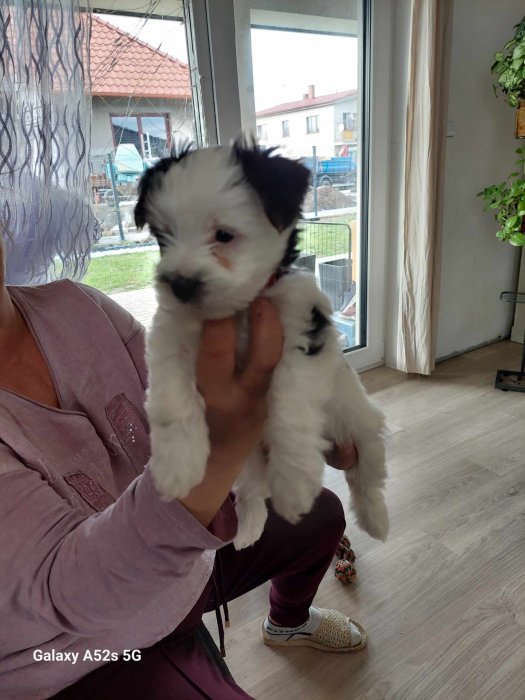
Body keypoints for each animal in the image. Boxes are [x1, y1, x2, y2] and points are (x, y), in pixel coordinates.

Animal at [134, 139, 388, 549]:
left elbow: (290, 402)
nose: (181, 285)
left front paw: (295, 481)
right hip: (247, 461)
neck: (238, 309)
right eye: (163, 237)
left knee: (366, 472)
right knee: (252, 494)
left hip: (360, 423)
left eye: (224, 235)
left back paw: (375, 517)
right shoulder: (173, 333)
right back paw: (248, 528)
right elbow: (172, 400)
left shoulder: (301, 328)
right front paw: (177, 464)